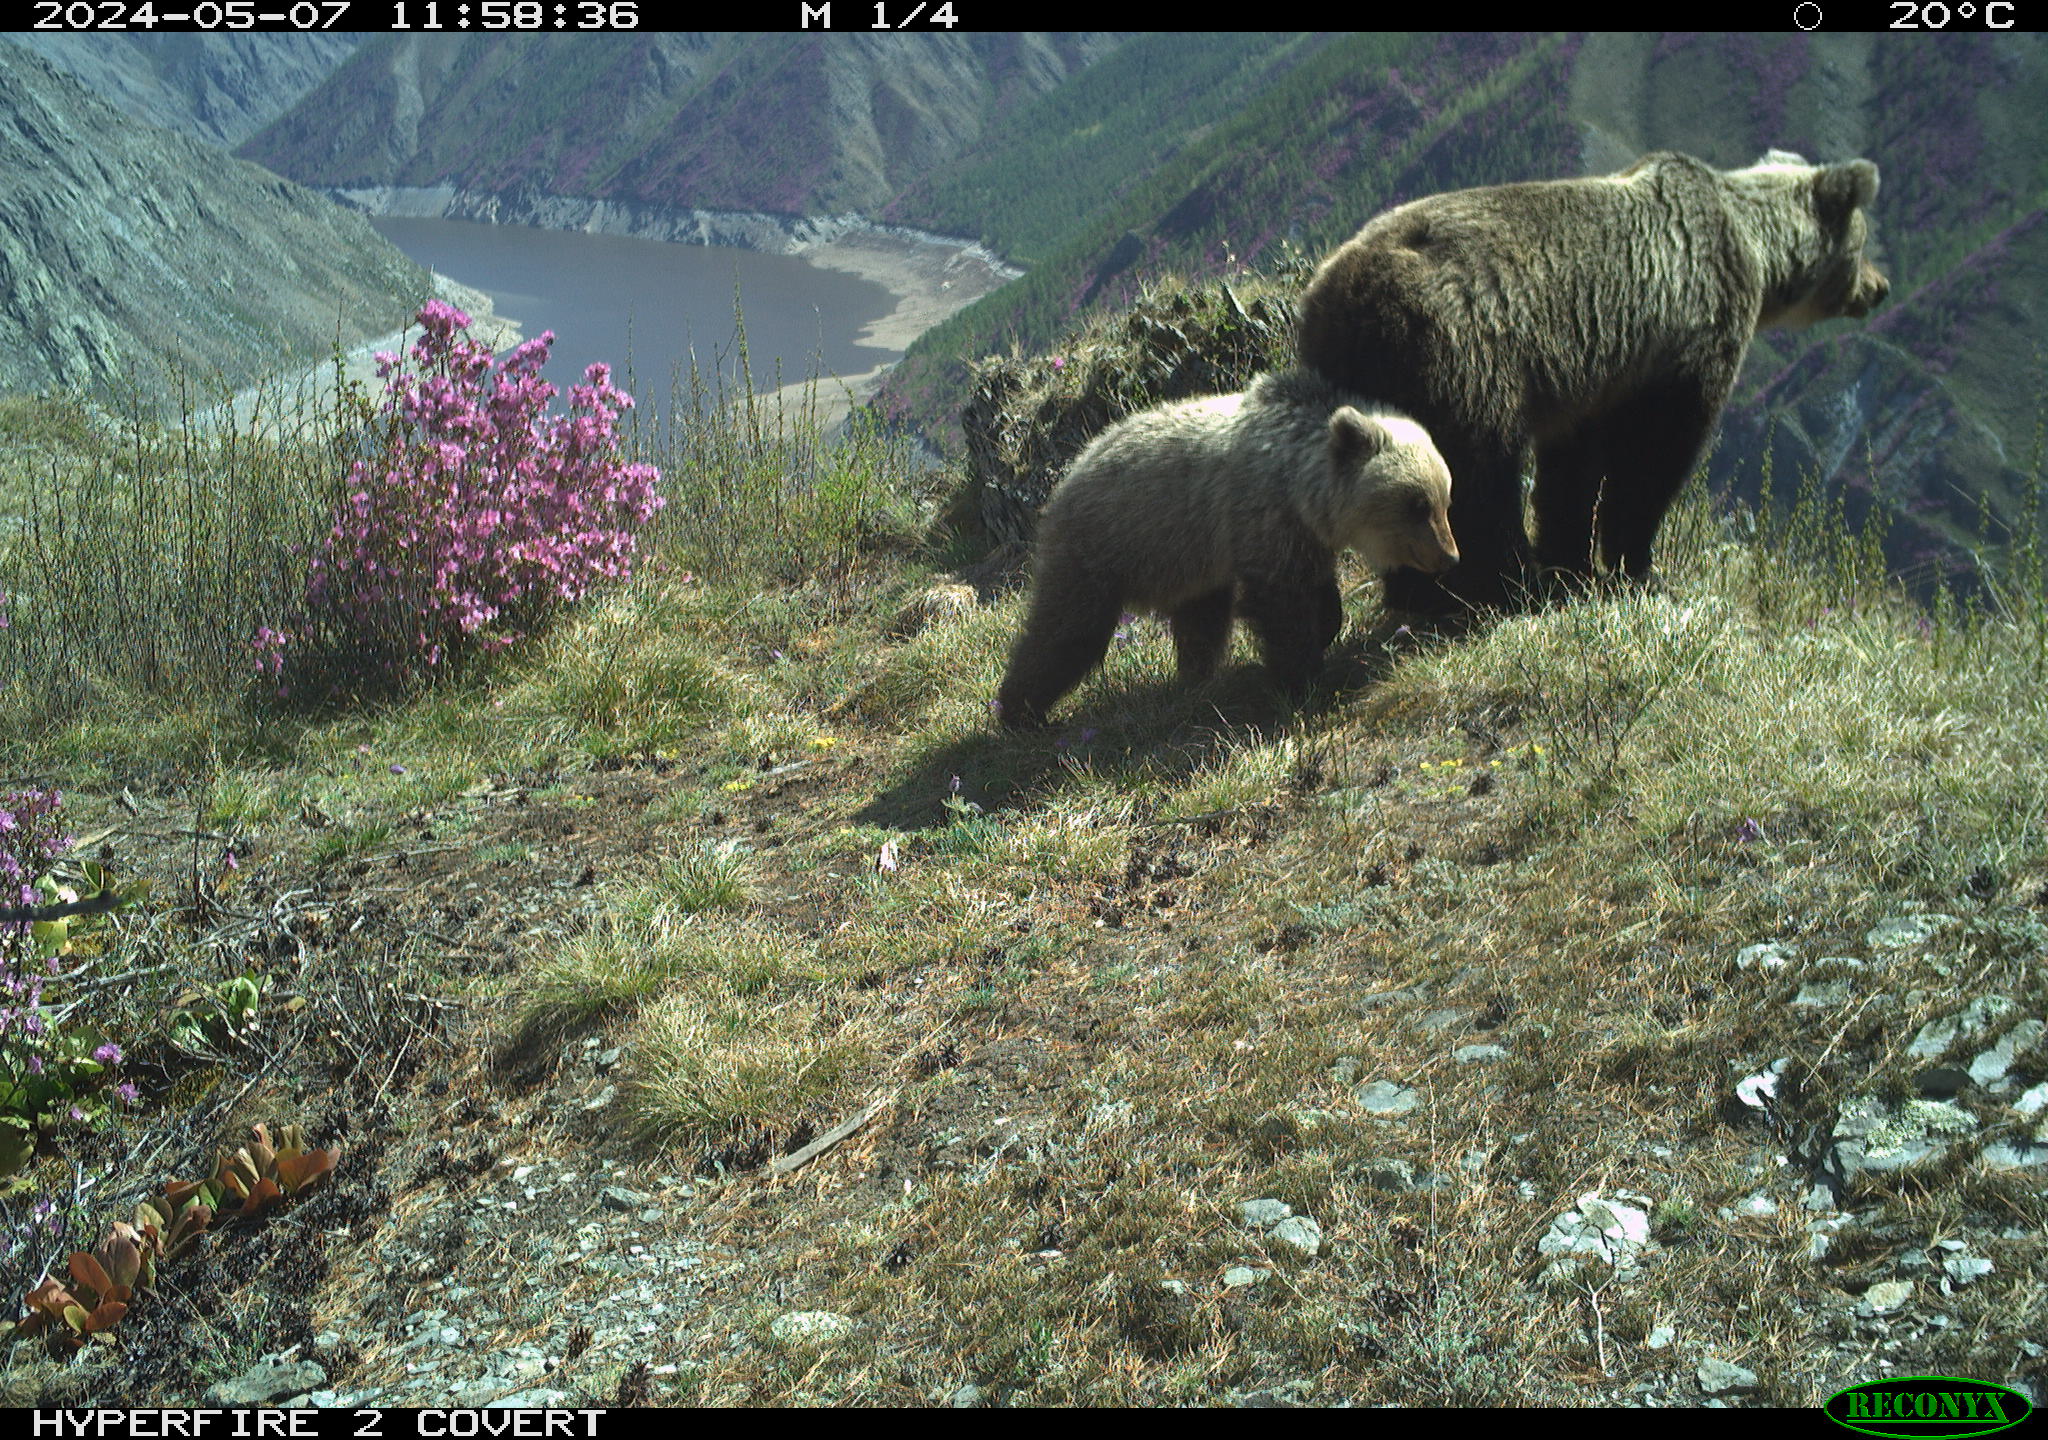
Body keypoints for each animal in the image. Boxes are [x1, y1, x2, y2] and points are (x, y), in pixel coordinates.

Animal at [1294, 149, 1884, 610]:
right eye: (1861, 245)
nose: (1879, 287)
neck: (1756, 252)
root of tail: (1340, 292)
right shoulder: (1688, 341)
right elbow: (1654, 457)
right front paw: (1639, 571)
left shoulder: (1592, 374)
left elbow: (1572, 472)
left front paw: (1571, 562)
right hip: (1458, 358)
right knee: (1476, 474)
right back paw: (1505, 584)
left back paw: (1426, 591)